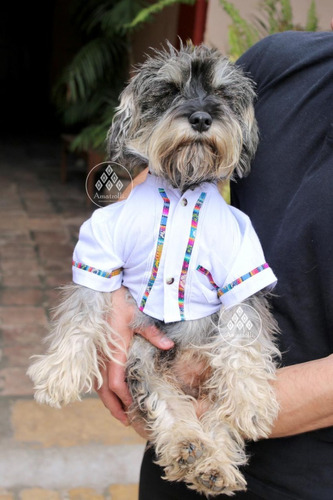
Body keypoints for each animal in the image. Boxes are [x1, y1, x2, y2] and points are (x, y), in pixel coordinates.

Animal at [27, 43, 278, 496]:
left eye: (221, 93)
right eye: (169, 90)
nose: (201, 118)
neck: (181, 188)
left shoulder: (242, 267)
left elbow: (244, 339)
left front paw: (251, 400)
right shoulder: (100, 252)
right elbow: (81, 314)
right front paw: (60, 373)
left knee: (217, 418)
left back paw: (213, 463)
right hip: (144, 357)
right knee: (169, 405)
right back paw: (188, 448)